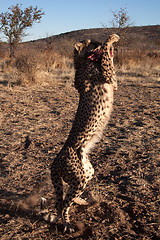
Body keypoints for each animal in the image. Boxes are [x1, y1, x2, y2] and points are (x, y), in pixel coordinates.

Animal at [40, 33, 119, 232]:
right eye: (90, 42)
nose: (96, 42)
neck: (83, 60)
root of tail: (54, 162)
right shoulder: (108, 76)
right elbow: (107, 57)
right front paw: (111, 39)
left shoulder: (113, 82)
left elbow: (109, 59)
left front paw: (110, 42)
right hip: (78, 178)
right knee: (62, 204)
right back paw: (67, 224)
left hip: (86, 172)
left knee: (65, 199)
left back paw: (84, 202)